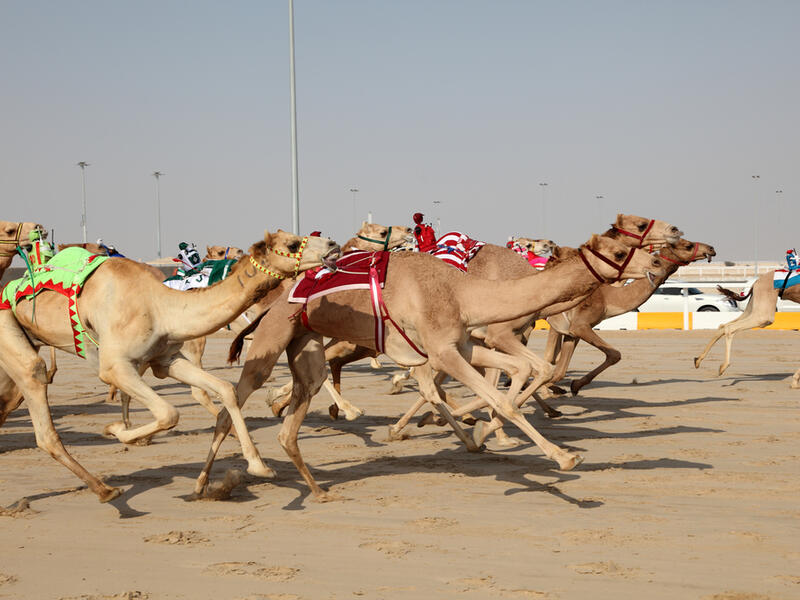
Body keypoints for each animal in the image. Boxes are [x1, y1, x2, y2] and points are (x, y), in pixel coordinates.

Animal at [0, 230, 339, 501]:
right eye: (292, 243)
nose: (333, 245)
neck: (162, 306)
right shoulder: (115, 365)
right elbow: (168, 413)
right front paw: (117, 431)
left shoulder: (165, 359)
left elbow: (225, 390)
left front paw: (258, 465)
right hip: (10, 334)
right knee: (39, 400)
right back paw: (107, 490)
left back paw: (100, 488)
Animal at [196, 234, 667, 501]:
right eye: (622, 249)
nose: (657, 262)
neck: (463, 291)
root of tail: (273, 300)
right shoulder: (443, 352)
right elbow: (503, 398)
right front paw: (563, 457)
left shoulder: (463, 344)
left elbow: (517, 372)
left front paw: (478, 432)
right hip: (273, 338)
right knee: (235, 401)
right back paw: (210, 483)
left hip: (305, 346)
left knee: (291, 420)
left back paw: (317, 490)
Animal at [544, 239, 716, 395]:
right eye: (688, 245)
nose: (711, 249)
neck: (608, 298)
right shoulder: (578, 325)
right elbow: (614, 355)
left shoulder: (573, 331)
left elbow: (559, 371)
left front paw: (571, 386)